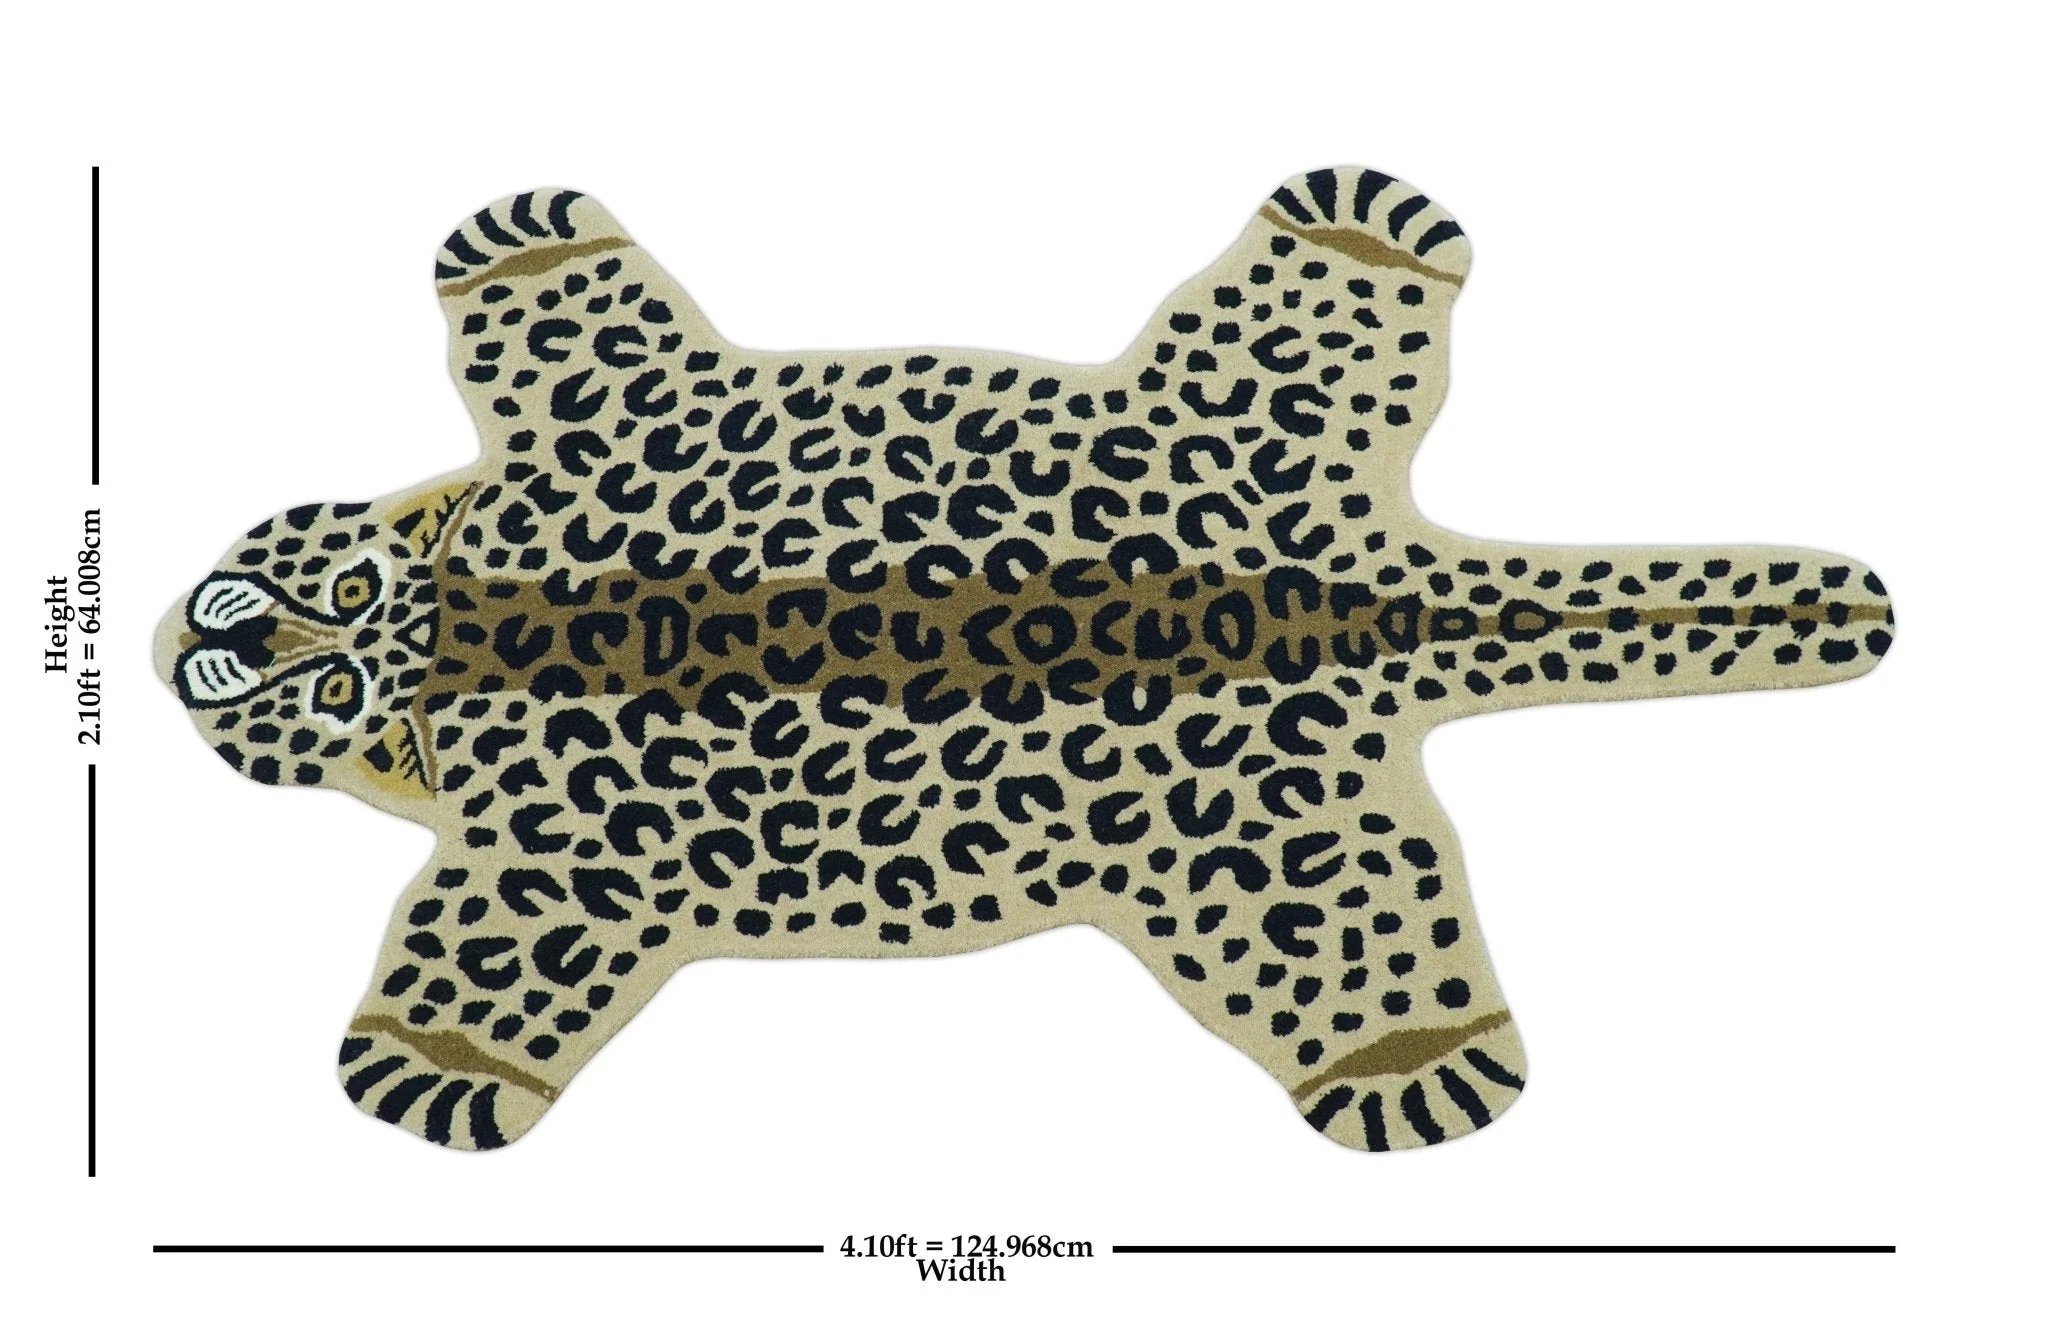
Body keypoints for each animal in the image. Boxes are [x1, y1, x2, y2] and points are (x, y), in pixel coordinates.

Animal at [154, 168, 1893, 1153]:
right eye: (311, 612)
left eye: (325, 667)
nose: (199, 631)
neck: (442, 623)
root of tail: (1380, 590)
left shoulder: (545, 852)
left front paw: (419, 1063)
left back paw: (1417, 1059)